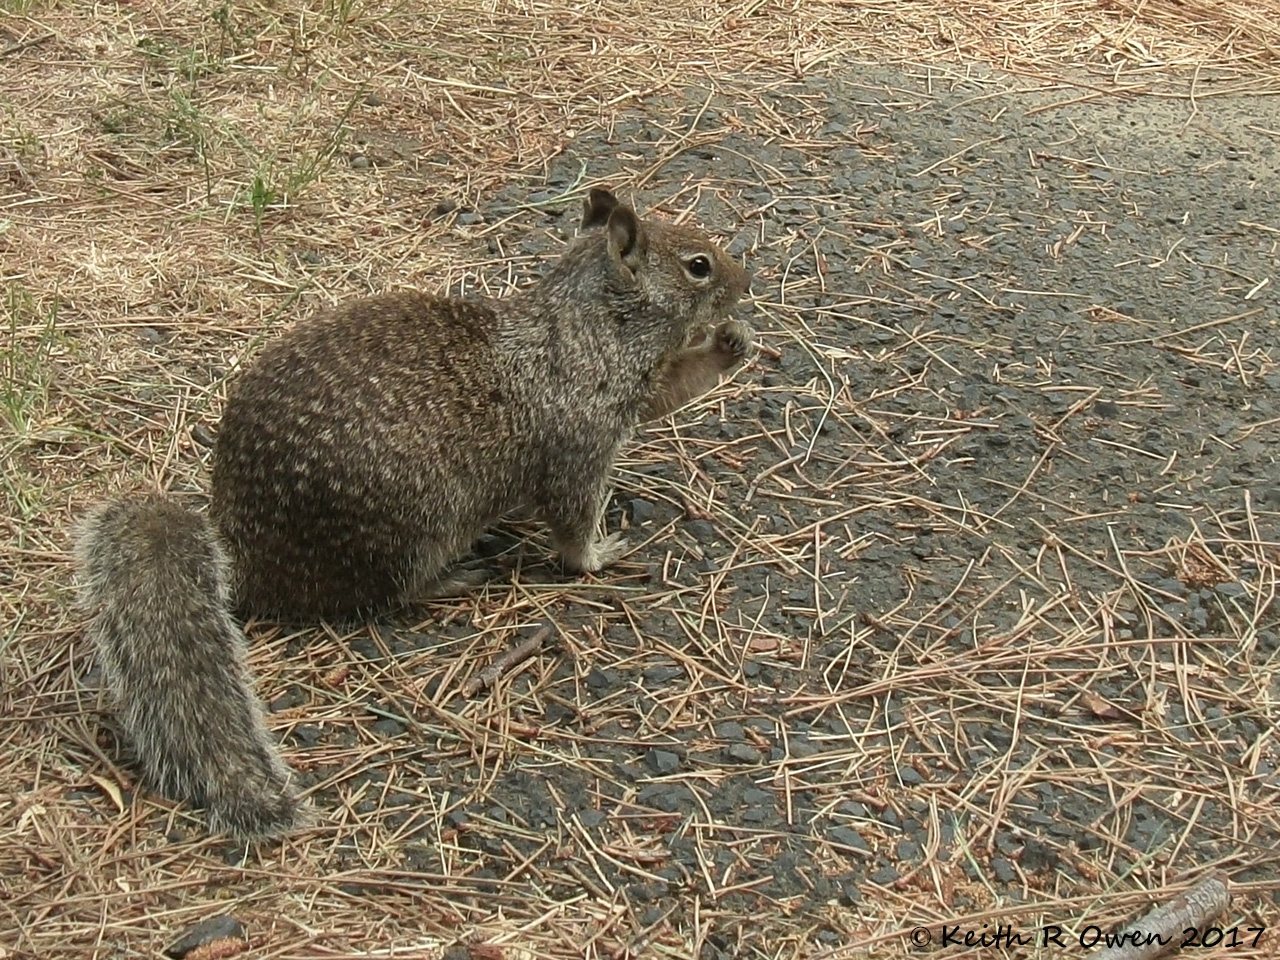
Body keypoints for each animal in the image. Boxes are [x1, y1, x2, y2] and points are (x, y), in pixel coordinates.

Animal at [74, 187, 755, 840]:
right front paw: (600, 555)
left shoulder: (638, 391)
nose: (746, 281)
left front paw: (731, 345)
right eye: (698, 266)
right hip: (412, 527)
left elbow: (672, 390)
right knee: (395, 592)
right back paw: (457, 579)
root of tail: (243, 554)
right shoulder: (580, 442)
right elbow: (572, 523)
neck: (589, 324)